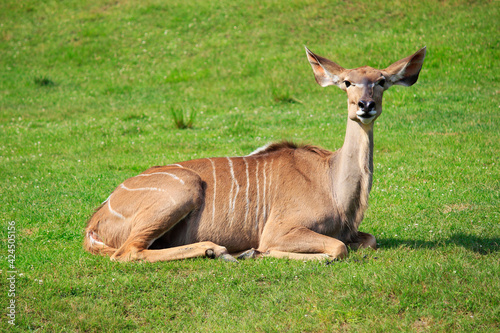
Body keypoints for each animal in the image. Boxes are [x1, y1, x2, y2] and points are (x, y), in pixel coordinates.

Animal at [85, 44, 426, 262]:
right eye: (346, 82)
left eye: (381, 81)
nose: (365, 106)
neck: (330, 180)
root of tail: (95, 222)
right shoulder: (280, 230)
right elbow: (336, 250)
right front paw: (256, 251)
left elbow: (369, 241)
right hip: (182, 192)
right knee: (127, 253)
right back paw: (218, 250)